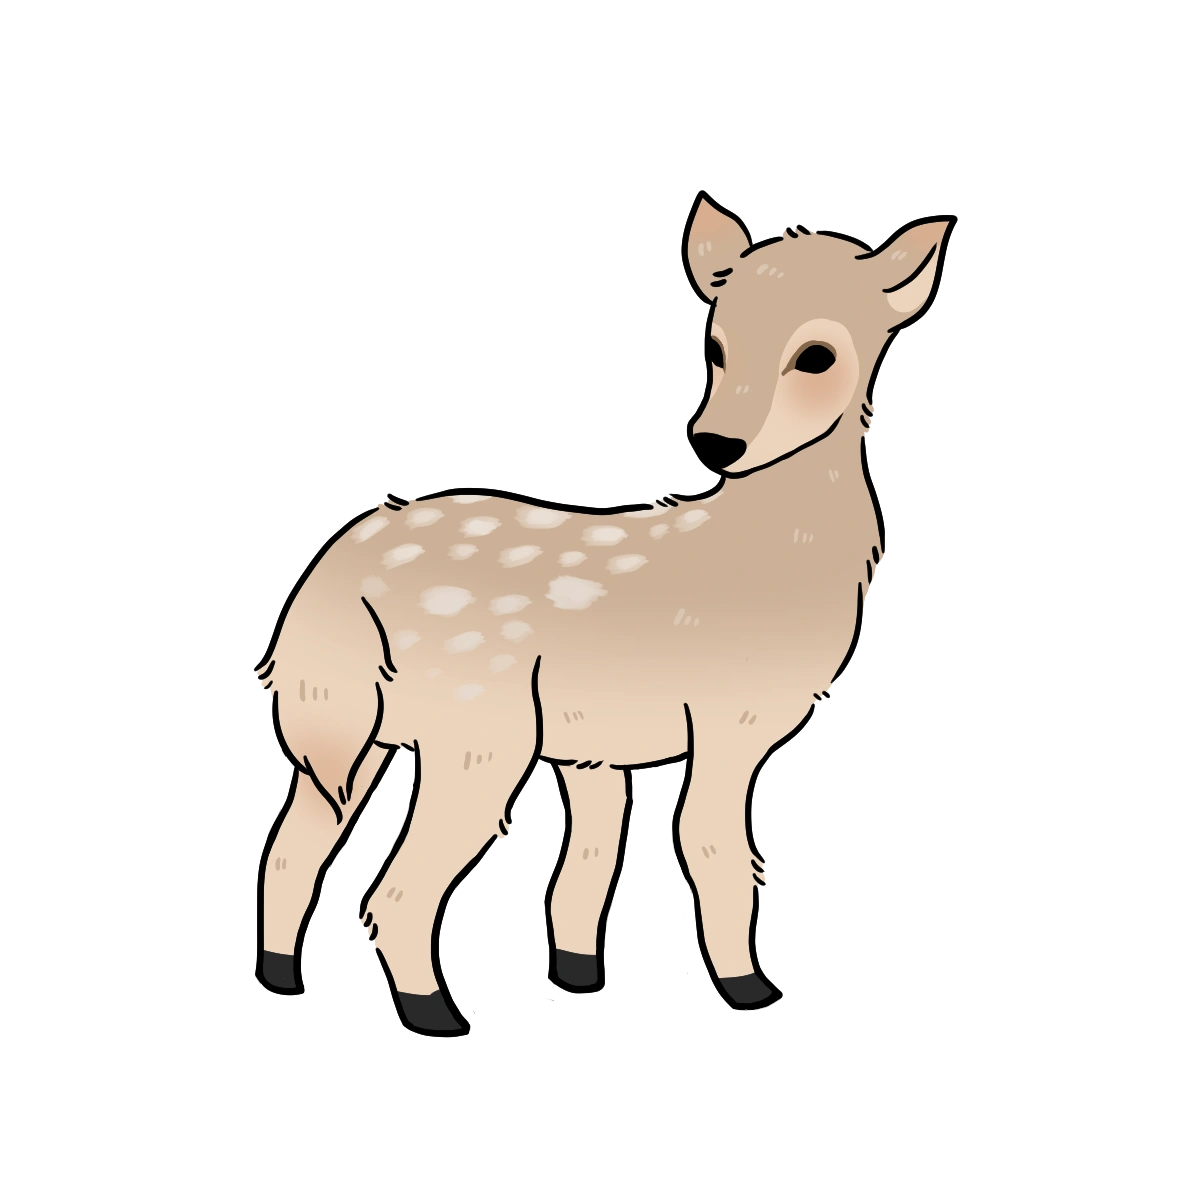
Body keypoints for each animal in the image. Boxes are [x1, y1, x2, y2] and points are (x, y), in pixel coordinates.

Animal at [259, 200, 947, 1029]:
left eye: (817, 356)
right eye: (715, 345)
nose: (714, 444)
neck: (763, 559)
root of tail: (336, 579)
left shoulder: (594, 750)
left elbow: (587, 866)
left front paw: (579, 972)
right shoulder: (728, 717)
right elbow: (711, 846)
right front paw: (744, 985)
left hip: (348, 727)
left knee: (292, 850)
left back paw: (280, 977)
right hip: (478, 728)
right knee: (396, 889)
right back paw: (433, 1010)